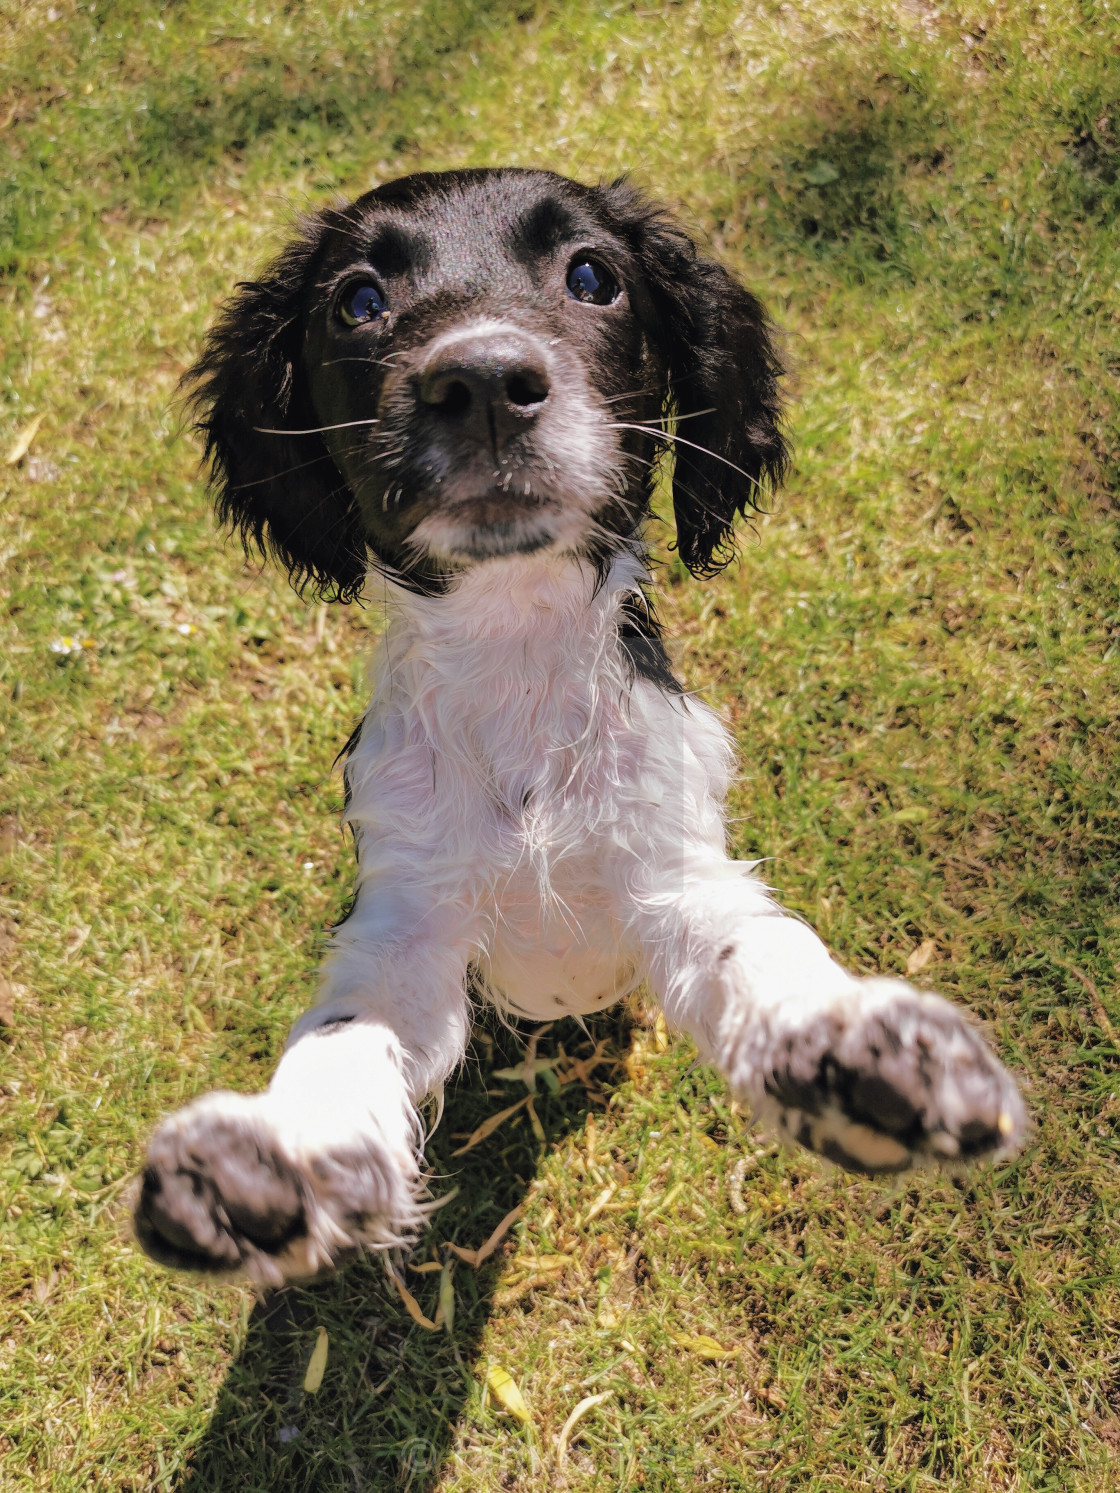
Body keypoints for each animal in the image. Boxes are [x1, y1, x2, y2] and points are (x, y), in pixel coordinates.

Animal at [133, 166, 1027, 1283]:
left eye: (592, 274)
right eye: (358, 301)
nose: (479, 381)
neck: (516, 656)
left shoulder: (673, 872)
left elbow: (754, 950)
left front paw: (847, 1044)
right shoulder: (409, 923)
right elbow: (347, 1031)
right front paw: (279, 1151)